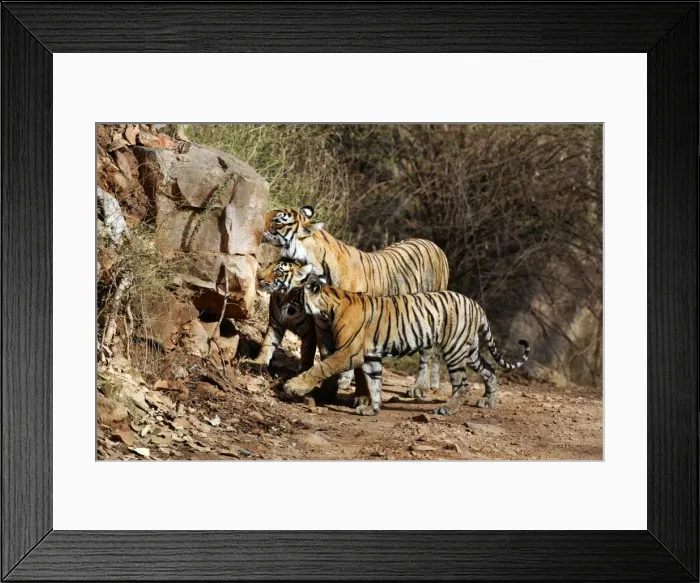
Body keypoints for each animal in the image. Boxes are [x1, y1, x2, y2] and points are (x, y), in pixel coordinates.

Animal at [263, 205, 450, 399]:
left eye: (277, 220)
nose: (259, 219)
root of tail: (436, 246)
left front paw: (343, 382)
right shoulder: (322, 325)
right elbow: (326, 356)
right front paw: (327, 389)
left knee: (427, 353)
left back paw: (419, 387)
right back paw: (434, 384)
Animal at [282, 266, 530, 417]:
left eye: (294, 295)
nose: (281, 302)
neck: (329, 305)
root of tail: (477, 305)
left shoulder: (348, 352)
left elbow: (320, 368)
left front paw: (293, 386)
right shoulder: (371, 356)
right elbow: (375, 383)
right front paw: (373, 409)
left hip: (455, 350)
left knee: (463, 383)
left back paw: (449, 408)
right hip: (469, 351)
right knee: (489, 369)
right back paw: (488, 401)